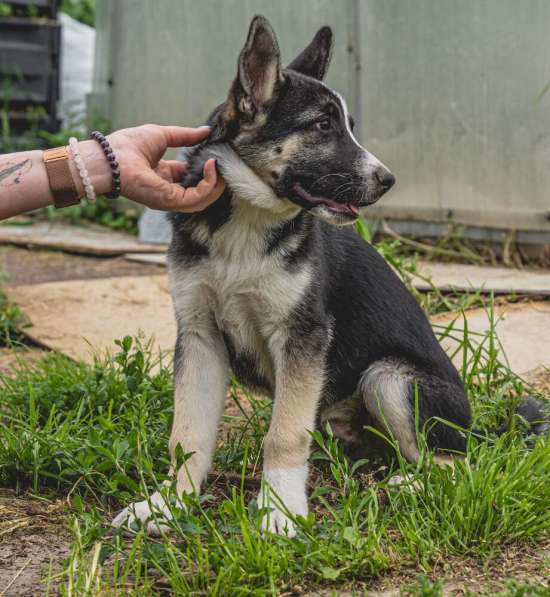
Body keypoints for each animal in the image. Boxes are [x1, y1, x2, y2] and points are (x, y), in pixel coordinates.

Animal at [114, 15, 548, 536]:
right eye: (322, 126)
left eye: (348, 128)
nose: (388, 181)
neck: (246, 225)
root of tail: (474, 429)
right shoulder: (200, 336)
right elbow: (188, 433)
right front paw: (168, 505)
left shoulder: (303, 337)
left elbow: (283, 434)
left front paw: (279, 512)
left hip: (389, 379)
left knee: (456, 462)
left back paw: (412, 486)